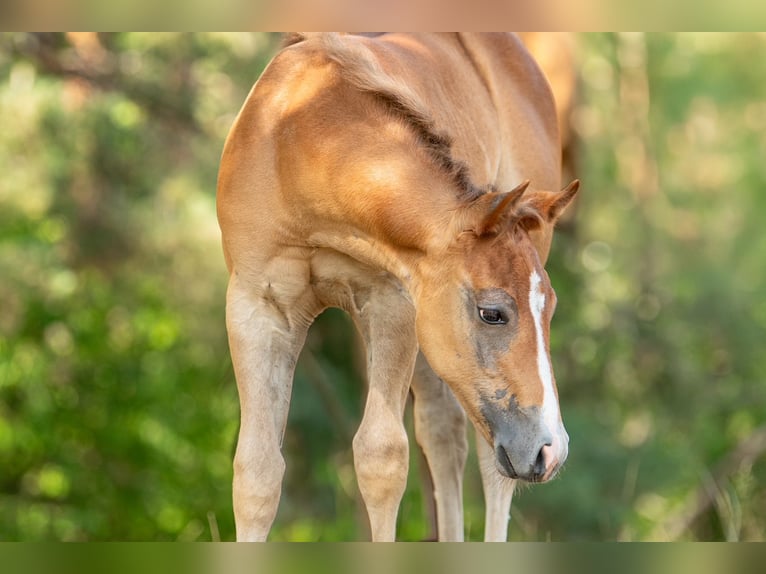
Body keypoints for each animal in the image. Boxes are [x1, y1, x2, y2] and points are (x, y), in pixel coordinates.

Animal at [216, 32, 579, 542]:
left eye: (549, 310)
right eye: (492, 312)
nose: (553, 449)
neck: (297, 145)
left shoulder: (392, 305)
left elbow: (381, 458)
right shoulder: (256, 309)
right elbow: (257, 473)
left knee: (491, 459)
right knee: (445, 432)